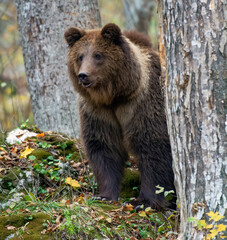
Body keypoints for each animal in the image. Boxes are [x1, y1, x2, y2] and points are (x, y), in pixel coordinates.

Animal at [63, 23, 176, 209]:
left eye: (98, 55)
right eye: (80, 56)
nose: (83, 75)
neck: (114, 97)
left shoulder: (140, 105)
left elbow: (152, 147)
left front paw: (144, 201)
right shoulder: (98, 112)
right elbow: (104, 148)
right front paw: (105, 195)